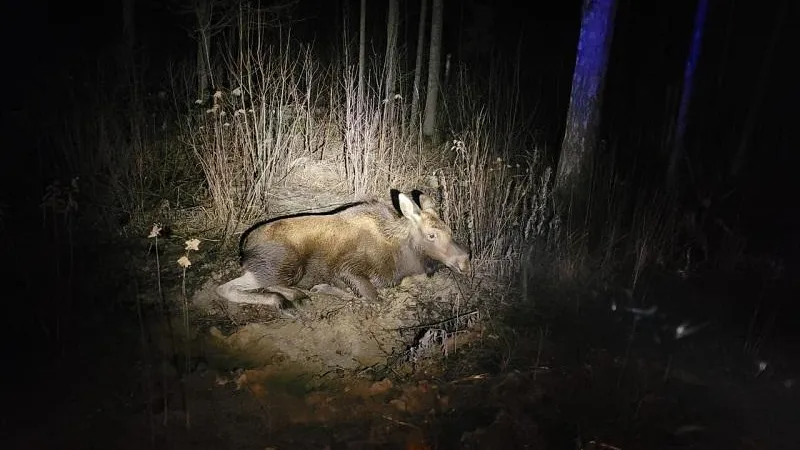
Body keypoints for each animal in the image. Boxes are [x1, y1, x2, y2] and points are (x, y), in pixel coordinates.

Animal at [216, 189, 472, 312]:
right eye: (431, 235)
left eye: (450, 229)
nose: (465, 261)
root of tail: (244, 246)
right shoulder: (348, 269)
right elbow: (370, 298)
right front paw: (323, 288)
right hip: (284, 266)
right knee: (226, 288)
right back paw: (286, 299)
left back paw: (296, 295)